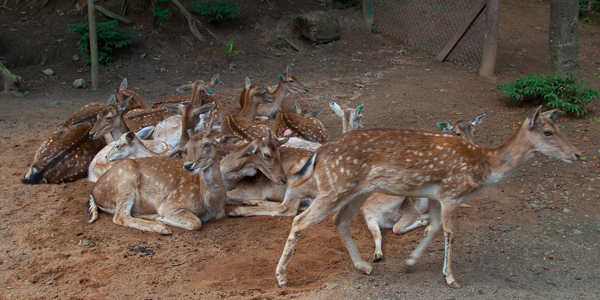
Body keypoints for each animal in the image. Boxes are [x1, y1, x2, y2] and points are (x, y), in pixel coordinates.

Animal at [88, 108, 238, 234]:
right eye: (187, 147)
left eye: (207, 144)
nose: (188, 165)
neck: (210, 203)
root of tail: (94, 191)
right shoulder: (172, 203)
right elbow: (196, 222)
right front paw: (163, 219)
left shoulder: (220, 211)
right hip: (124, 182)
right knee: (120, 216)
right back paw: (160, 227)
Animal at [360, 113, 488, 262]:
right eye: (458, 133)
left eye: (475, 131)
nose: (474, 148)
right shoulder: (371, 218)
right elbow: (383, 233)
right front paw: (377, 255)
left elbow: (395, 228)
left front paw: (423, 222)